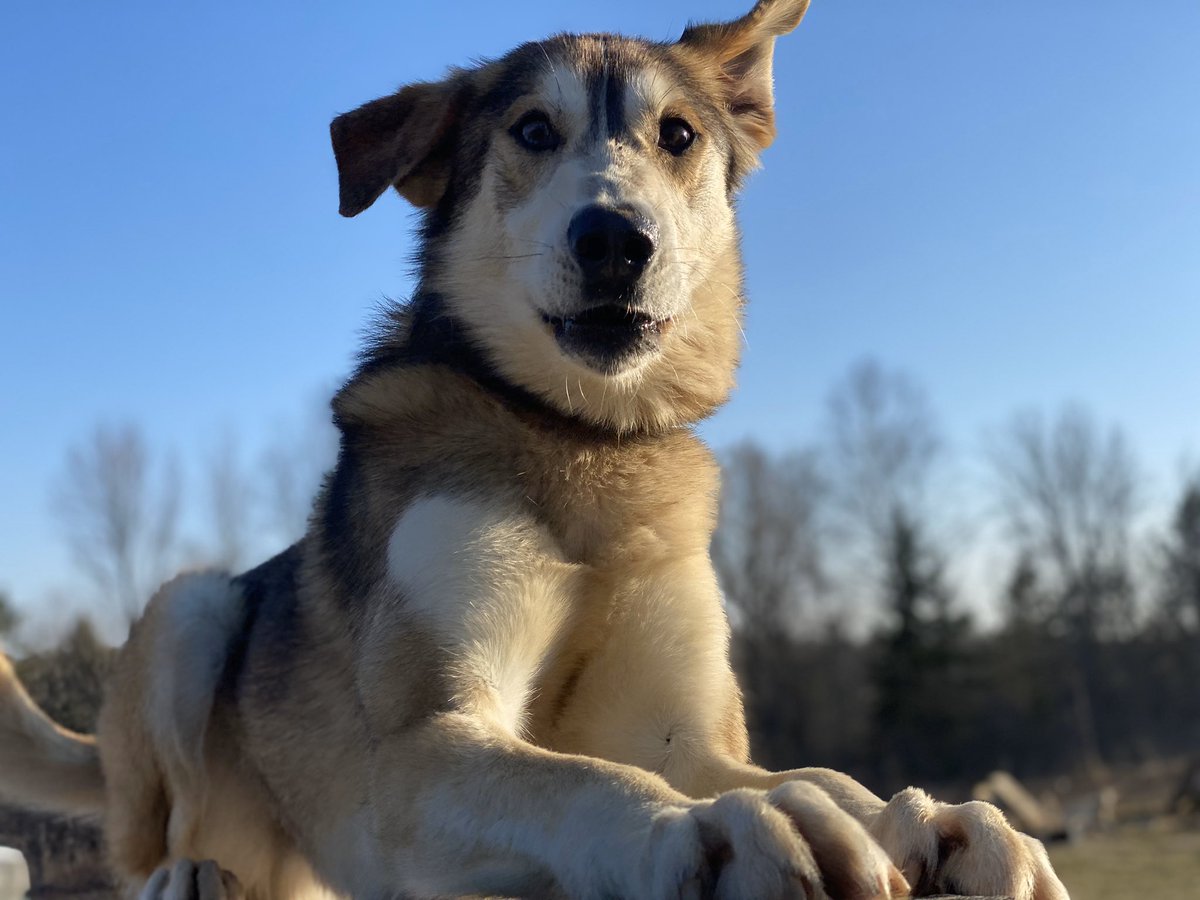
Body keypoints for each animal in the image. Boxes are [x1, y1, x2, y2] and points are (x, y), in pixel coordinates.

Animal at [0, 1, 1070, 900]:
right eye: (531, 132)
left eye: (677, 135)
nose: (614, 240)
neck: (583, 442)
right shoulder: (422, 747)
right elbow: (588, 782)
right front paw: (722, 831)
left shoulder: (680, 730)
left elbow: (817, 774)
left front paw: (932, 820)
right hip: (192, 610)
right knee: (160, 842)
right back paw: (184, 877)